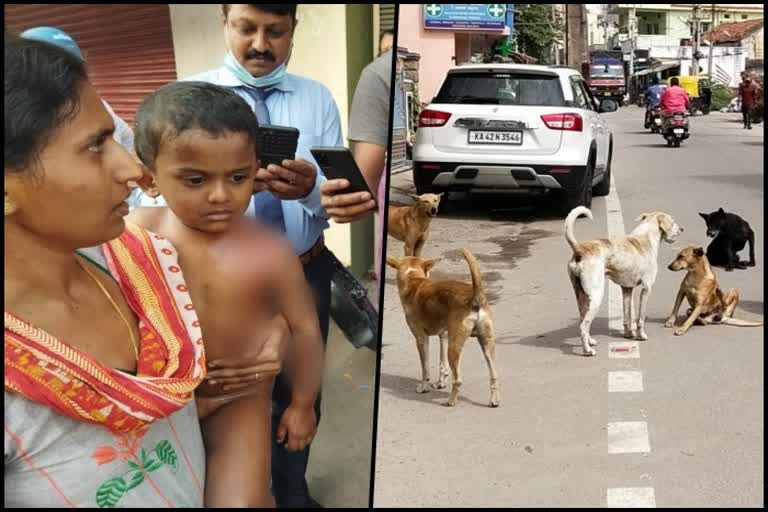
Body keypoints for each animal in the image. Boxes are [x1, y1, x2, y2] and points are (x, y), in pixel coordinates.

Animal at [388, 248, 500, 408]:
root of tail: (475, 297)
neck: (414, 280)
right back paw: (494, 400)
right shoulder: (444, 336)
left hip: (454, 348)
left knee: (458, 380)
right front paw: (440, 383)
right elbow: (442, 364)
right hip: (487, 346)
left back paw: (451, 401)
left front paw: (424, 387)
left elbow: (425, 368)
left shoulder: (421, 339)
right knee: (494, 375)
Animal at [564, 206, 684, 354]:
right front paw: (641, 336)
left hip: (582, 297)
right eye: (672, 222)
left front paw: (628, 334)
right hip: (596, 296)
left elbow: (627, 316)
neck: (646, 237)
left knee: (583, 321)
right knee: (583, 325)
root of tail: (579, 249)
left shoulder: (627, 289)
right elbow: (640, 318)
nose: (682, 229)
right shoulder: (646, 289)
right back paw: (587, 350)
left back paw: (590, 341)